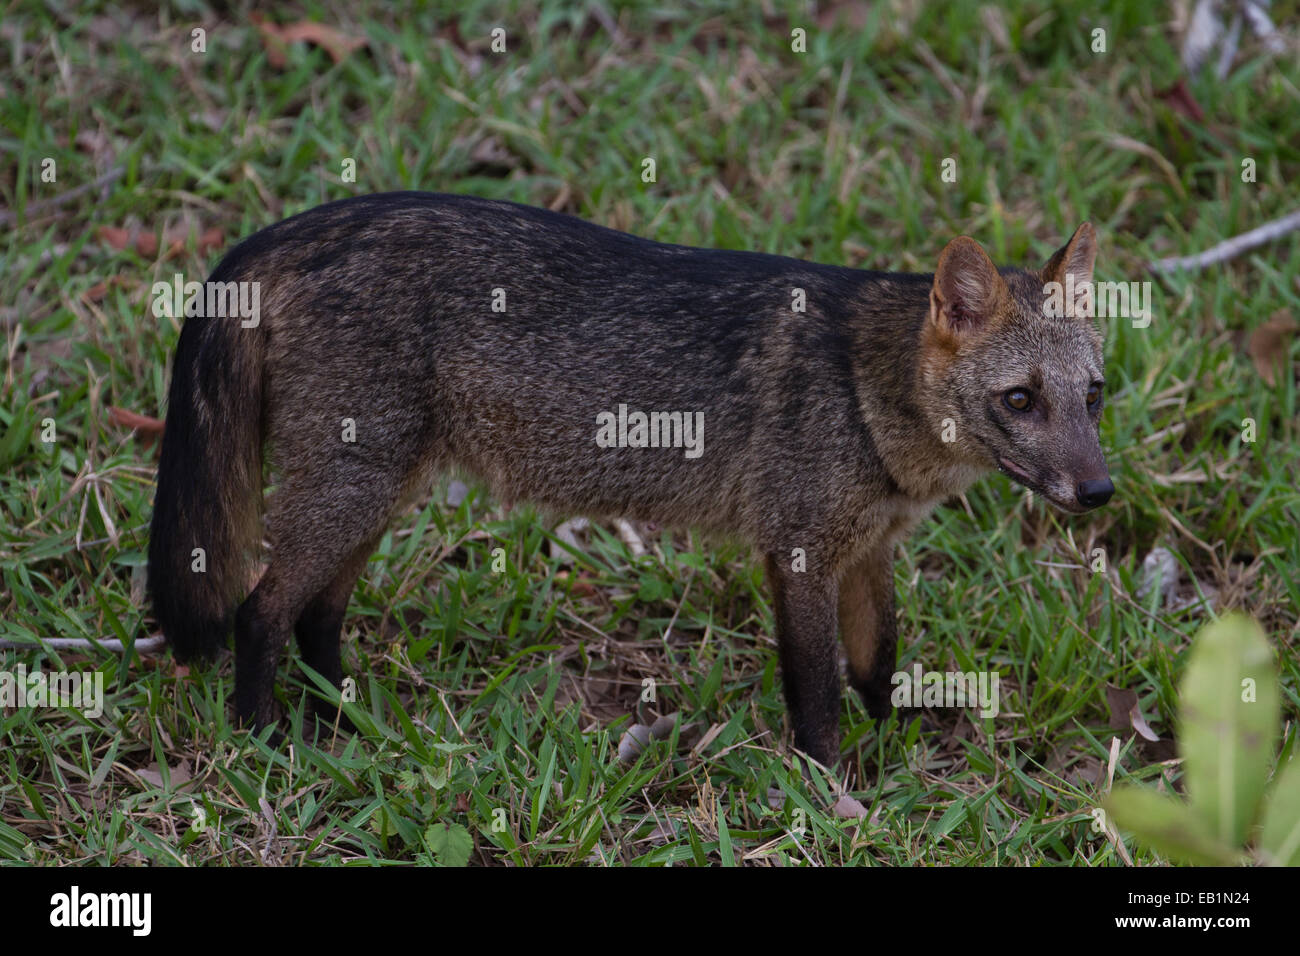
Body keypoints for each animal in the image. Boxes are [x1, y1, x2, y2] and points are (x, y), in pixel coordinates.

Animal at [147, 191, 1113, 768]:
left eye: (1094, 395)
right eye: (1020, 399)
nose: (1100, 495)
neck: (863, 386)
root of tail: (304, 222)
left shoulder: (868, 550)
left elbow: (879, 664)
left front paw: (899, 750)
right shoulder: (799, 553)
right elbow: (815, 687)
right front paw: (830, 787)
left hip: (376, 493)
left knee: (316, 613)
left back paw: (347, 727)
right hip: (354, 491)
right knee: (260, 610)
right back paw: (265, 742)